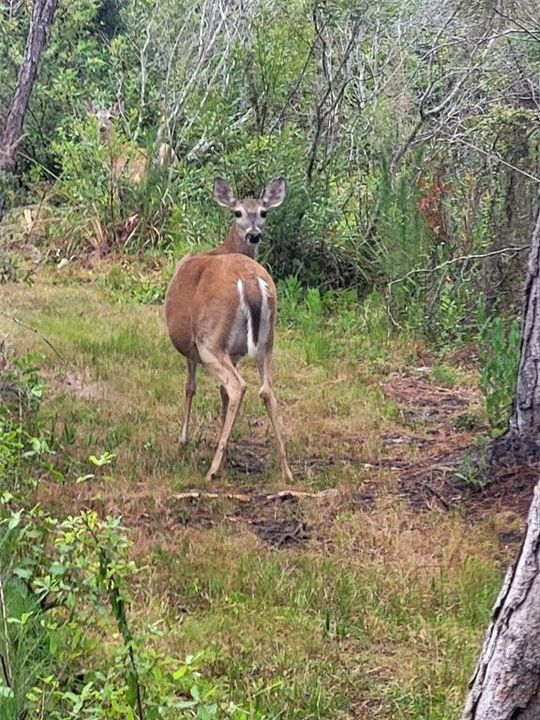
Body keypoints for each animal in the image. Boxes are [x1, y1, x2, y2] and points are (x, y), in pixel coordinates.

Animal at [166, 176, 296, 480]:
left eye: (264, 212)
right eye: (238, 212)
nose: (254, 234)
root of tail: (249, 281)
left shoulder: (192, 348)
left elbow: (191, 387)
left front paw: (183, 440)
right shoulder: (234, 352)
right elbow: (221, 394)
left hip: (209, 339)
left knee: (238, 386)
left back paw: (212, 470)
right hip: (268, 340)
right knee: (266, 390)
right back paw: (286, 469)